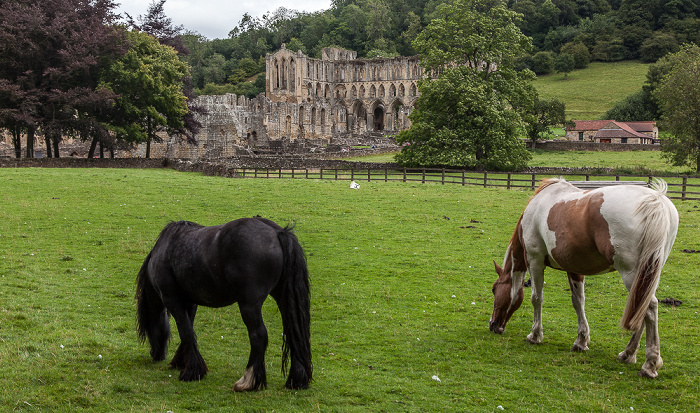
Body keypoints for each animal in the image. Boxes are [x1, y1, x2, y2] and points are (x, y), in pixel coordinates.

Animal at [137, 217, 312, 392]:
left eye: (147, 328)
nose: (155, 354)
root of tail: (277, 232)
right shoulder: (190, 302)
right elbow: (189, 330)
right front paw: (181, 362)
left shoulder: (173, 301)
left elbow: (185, 332)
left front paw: (192, 371)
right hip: (283, 299)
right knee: (294, 333)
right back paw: (297, 380)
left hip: (249, 305)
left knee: (258, 336)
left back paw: (248, 381)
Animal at [486, 177, 680, 376]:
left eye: (494, 289)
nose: (492, 325)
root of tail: (656, 200)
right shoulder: (574, 268)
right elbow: (578, 301)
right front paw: (581, 341)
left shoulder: (535, 261)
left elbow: (536, 298)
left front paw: (535, 335)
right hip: (646, 276)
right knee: (641, 307)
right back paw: (628, 354)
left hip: (632, 274)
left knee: (649, 308)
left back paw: (650, 364)